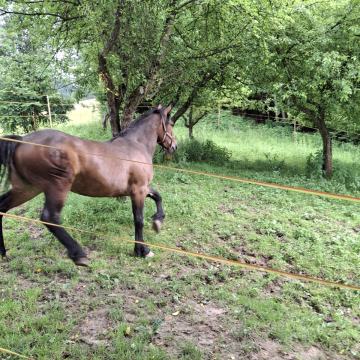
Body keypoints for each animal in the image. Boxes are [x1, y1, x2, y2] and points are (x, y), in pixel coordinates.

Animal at [0, 104, 176, 264]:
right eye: (171, 123)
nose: (174, 146)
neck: (135, 145)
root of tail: (22, 141)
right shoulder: (138, 190)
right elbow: (138, 220)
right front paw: (142, 250)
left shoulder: (141, 188)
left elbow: (158, 196)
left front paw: (158, 221)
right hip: (57, 187)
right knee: (49, 217)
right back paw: (79, 254)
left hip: (28, 188)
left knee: (2, 207)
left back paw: (3, 252)